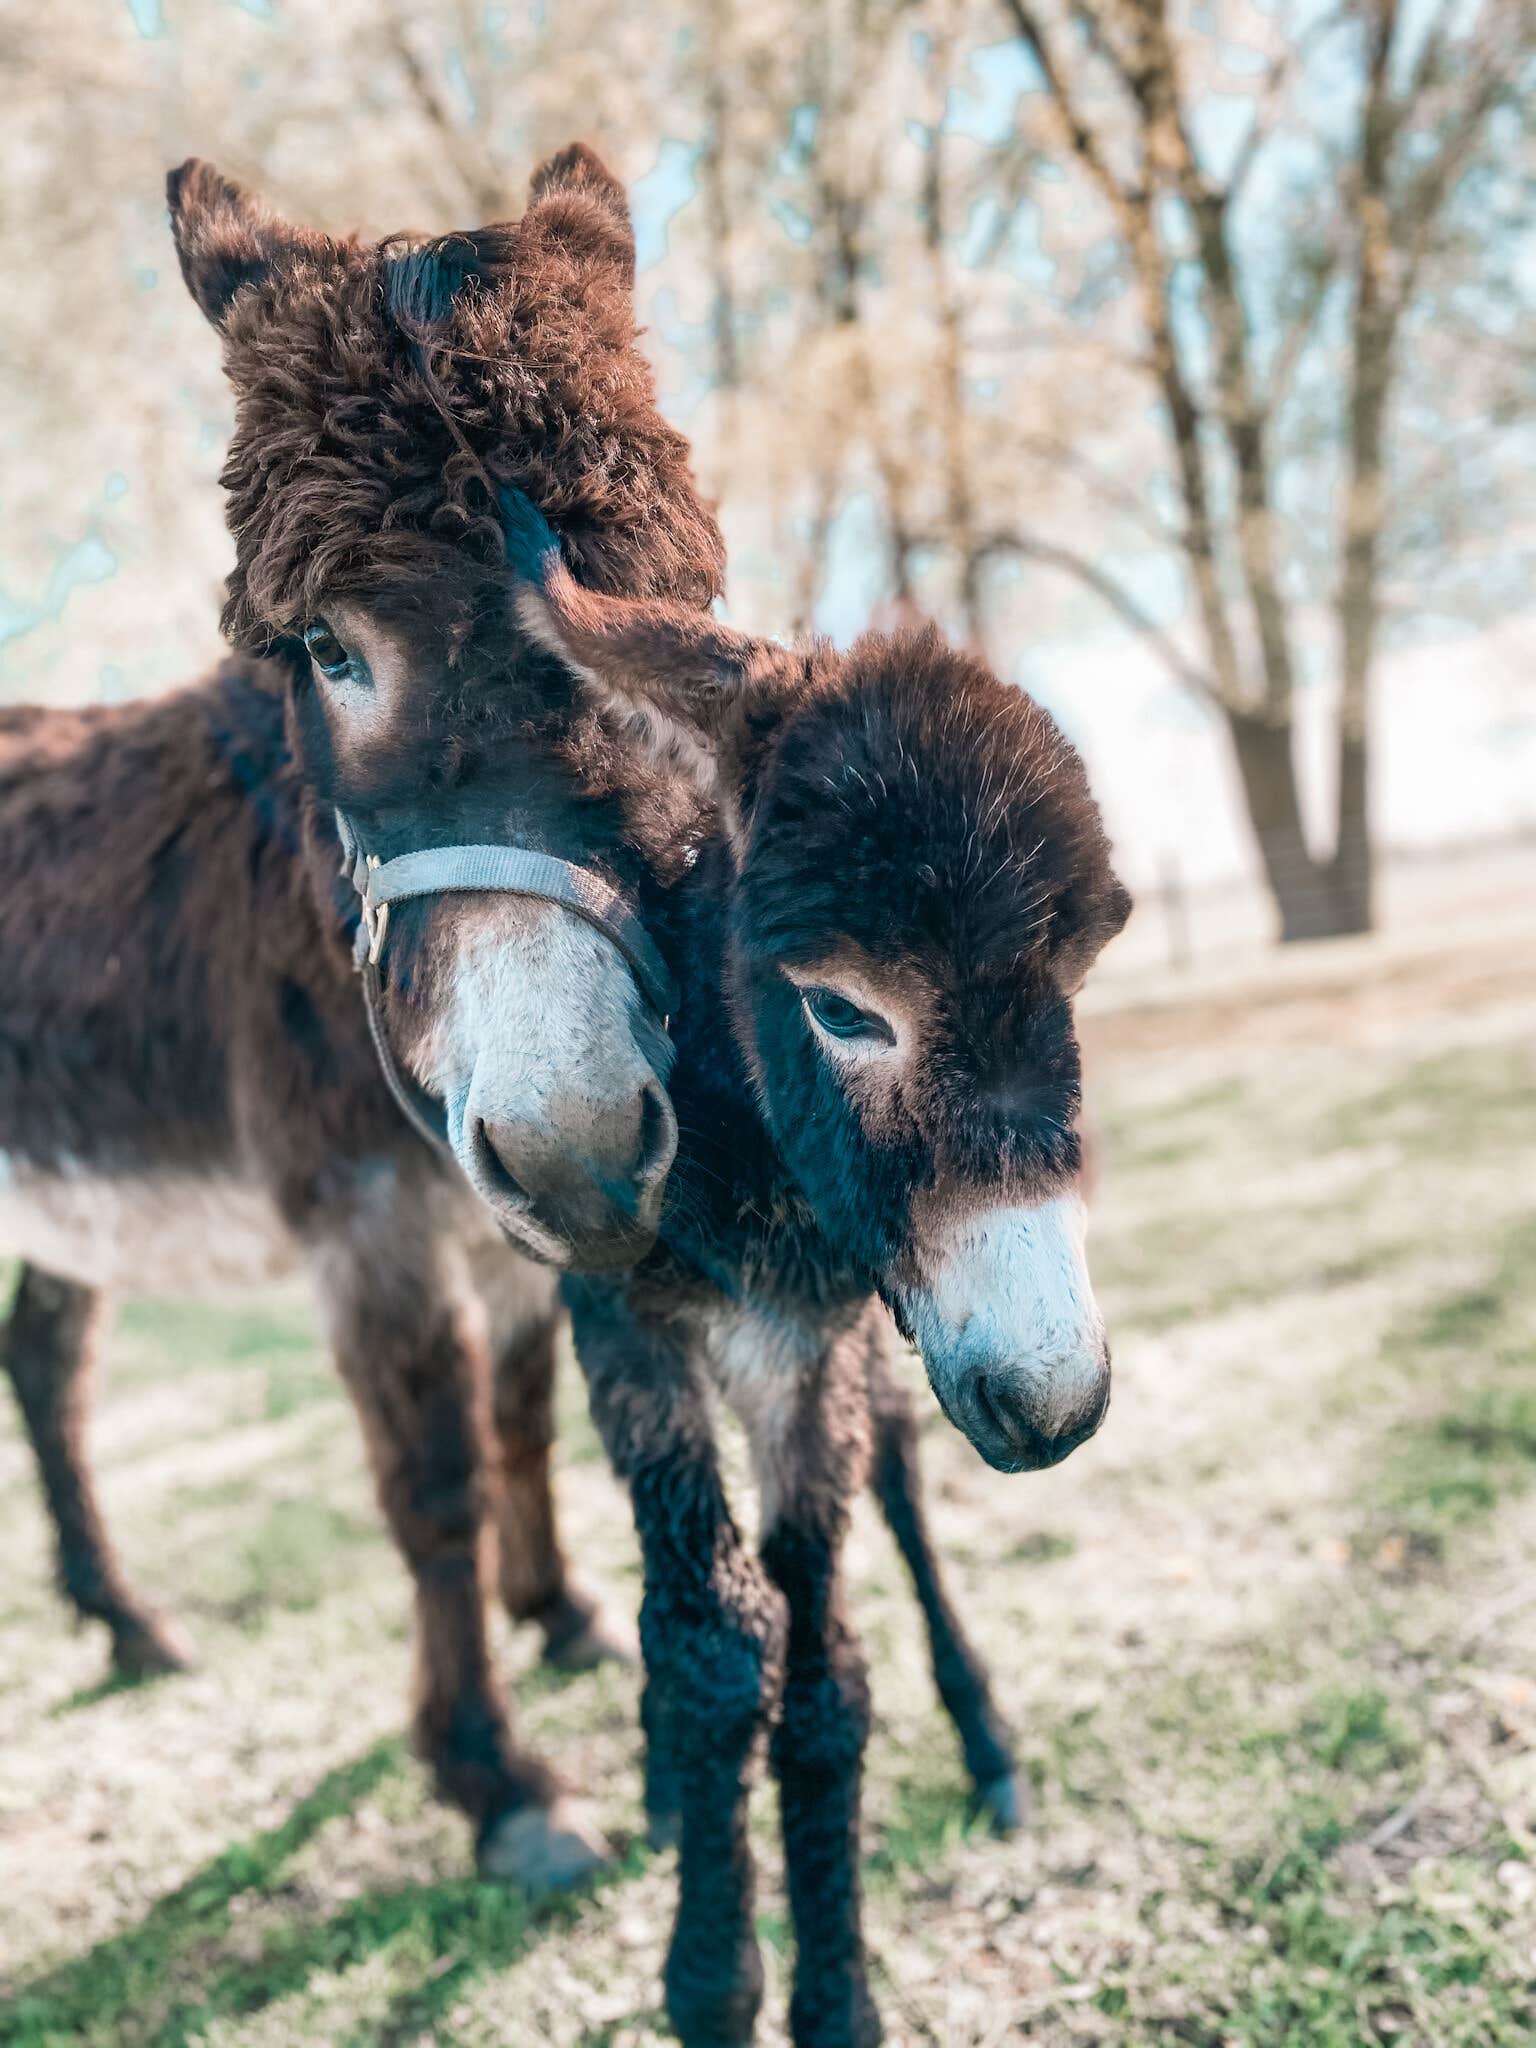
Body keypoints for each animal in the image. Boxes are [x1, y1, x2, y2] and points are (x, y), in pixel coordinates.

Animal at [512, 499, 1138, 2048]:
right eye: (844, 1010)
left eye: (1074, 988)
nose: (1059, 1398)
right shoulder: (624, 1324)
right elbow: (707, 1643)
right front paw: (709, 1966)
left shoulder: (820, 1343)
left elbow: (820, 1675)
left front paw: (833, 1990)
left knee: (905, 1493)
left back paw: (985, 1740)